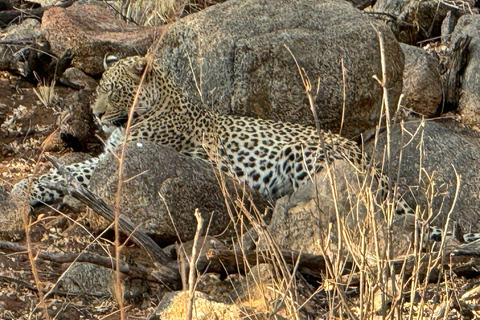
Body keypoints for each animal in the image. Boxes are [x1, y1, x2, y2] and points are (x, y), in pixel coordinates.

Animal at [11, 55, 476, 242]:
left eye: (118, 91)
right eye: (99, 90)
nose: (99, 114)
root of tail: (375, 167)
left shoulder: (124, 156)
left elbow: (71, 172)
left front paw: (22, 188)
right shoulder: (110, 155)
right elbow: (72, 170)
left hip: (306, 157)